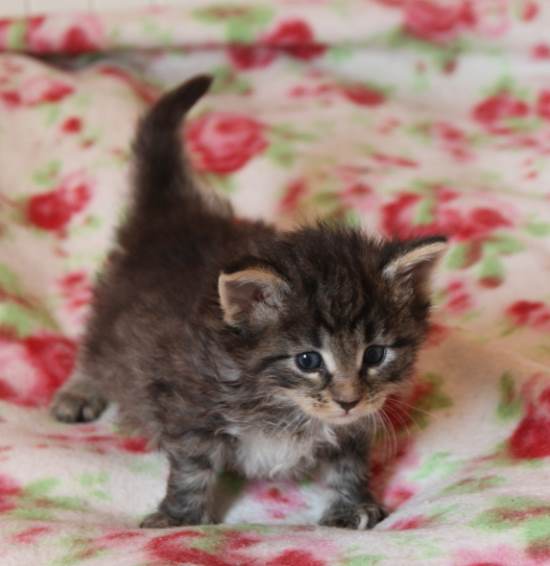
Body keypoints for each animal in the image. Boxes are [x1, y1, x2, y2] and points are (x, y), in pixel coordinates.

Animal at [50, 75, 446, 530]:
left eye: (376, 354)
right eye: (308, 360)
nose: (348, 400)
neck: (282, 403)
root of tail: (174, 214)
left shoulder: (355, 426)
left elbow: (349, 463)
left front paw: (351, 504)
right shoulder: (189, 406)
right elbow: (192, 469)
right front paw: (180, 517)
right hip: (112, 307)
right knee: (96, 348)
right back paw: (79, 391)